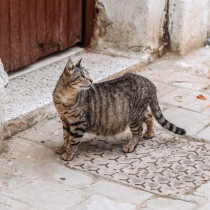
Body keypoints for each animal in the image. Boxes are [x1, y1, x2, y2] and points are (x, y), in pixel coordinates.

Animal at [53, 58, 186, 160]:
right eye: (82, 76)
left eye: (88, 74)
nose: (91, 80)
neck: (65, 97)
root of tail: (149, 82)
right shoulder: (65, 120)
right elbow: (66, 137)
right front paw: (63, 148)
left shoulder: (78, 123)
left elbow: (73, 140)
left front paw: (68, 154)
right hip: (139, 113)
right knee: (149, 115)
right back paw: (150, 132)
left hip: (134, 117)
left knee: (138, 131)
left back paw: (131, 146)